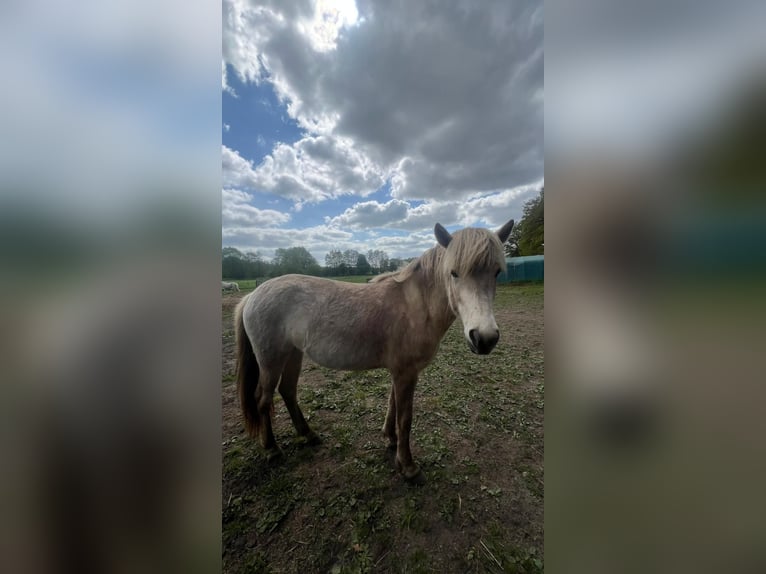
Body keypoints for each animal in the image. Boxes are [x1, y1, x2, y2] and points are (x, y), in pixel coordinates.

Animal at [234, 219, 514, 484]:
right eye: (453, 273)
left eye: (497, 272)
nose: (484, 338)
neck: (414, 306)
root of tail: (253, 295)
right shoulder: (405, 373)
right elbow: (405, 418)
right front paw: (408, 467)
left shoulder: (400, 372)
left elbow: (392, 406)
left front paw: (390, 439)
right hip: (270, 360)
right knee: (263, 399)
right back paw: (271, 449)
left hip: (293, 354)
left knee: (288, 391)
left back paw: (308, 434)